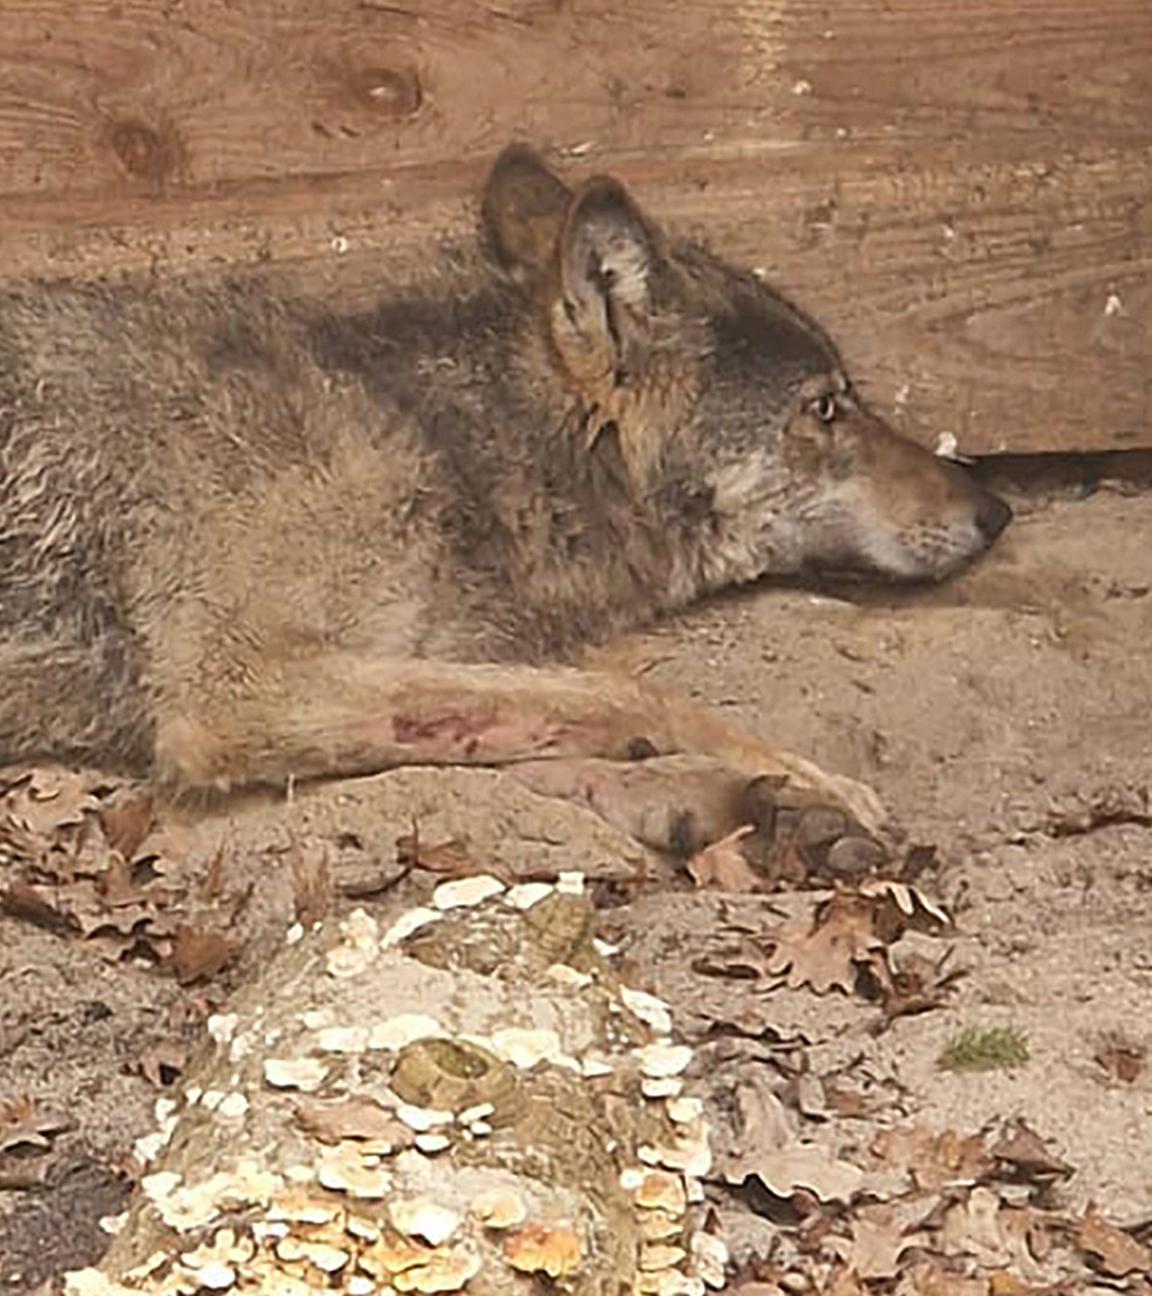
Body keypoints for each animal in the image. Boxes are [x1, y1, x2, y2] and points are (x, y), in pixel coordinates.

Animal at [0, 145, 1009, 835]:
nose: (995, 510)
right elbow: (634, 698)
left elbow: (552, 729)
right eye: (827, 406)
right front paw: (807, 783)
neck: (442, 446)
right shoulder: (234, 691)